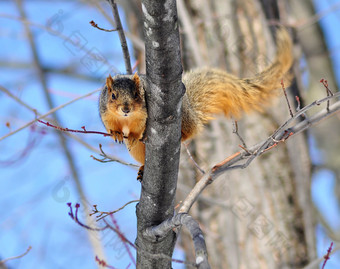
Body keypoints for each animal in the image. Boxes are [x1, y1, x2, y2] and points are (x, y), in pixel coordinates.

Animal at [97, 27, 292, 170]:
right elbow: (110, 126)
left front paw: (133, 135)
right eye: (113, 95)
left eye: (138, 94)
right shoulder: (106, 114)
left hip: (183, 117)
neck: (126, 119)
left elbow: (139, 128)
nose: (126, 109)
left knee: (190, 131)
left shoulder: (143, 115)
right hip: (137, 151)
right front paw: (116, 133)